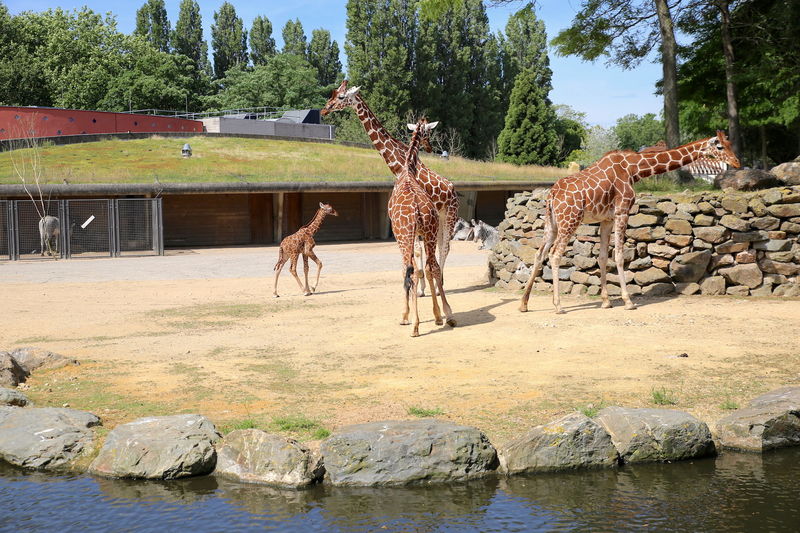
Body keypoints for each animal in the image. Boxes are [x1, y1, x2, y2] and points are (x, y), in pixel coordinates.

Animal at [318, 79, 456, 298]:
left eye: (341, 96)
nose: (324, 110)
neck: (400, 166)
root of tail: (452, 188)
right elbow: (418, 251)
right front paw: (421, 289)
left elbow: (420, 251)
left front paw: (423, 286)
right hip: (439, 217)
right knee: (437, 248)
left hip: (450, 214)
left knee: (445, 247)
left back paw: (441, 282)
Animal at [390, 117, 456, 336]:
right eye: (428, 133)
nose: (429, 147)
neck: (407, 171)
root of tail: (417, 209)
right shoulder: (420, 235)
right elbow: (423, 268)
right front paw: (437, 315)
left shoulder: (402, 237)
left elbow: (406, 271)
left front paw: (405, 316)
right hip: (430, 232)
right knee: (432, 266)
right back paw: (447, 316)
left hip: (405, 236)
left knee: (411, 270)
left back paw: (416, 325)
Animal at [520, 131, 740, 314]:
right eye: (720, 146)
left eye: (730, 143)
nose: (737, 162)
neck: (634, 168)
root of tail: (552, 195)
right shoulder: (622, 212)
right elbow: (618, 256)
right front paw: (628, 301)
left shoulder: (607, 219)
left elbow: (602, 257)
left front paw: (606, 301)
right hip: (570, 220)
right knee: (554, 254)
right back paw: (558, 306)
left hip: (551, 224)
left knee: (539, 253)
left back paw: (524, 303)